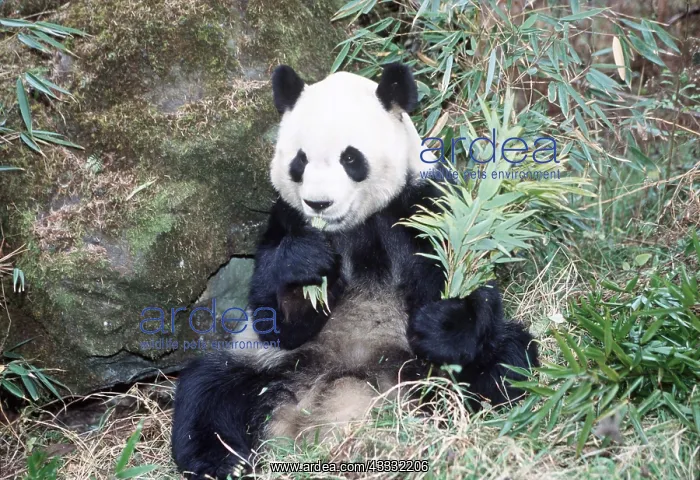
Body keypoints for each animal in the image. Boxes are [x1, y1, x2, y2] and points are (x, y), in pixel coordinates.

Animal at [171, 63, 539, 479]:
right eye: (300, 162)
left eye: (351, 158)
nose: (319, 202)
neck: (355, 226)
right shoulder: (285, 219)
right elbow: (273, 313)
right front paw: (305, 270)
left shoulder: (426, 207)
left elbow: (464, 278)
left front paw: (443, 322)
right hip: (270, 366)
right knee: (207, 391)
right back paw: (220, 461)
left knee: (505, 361)